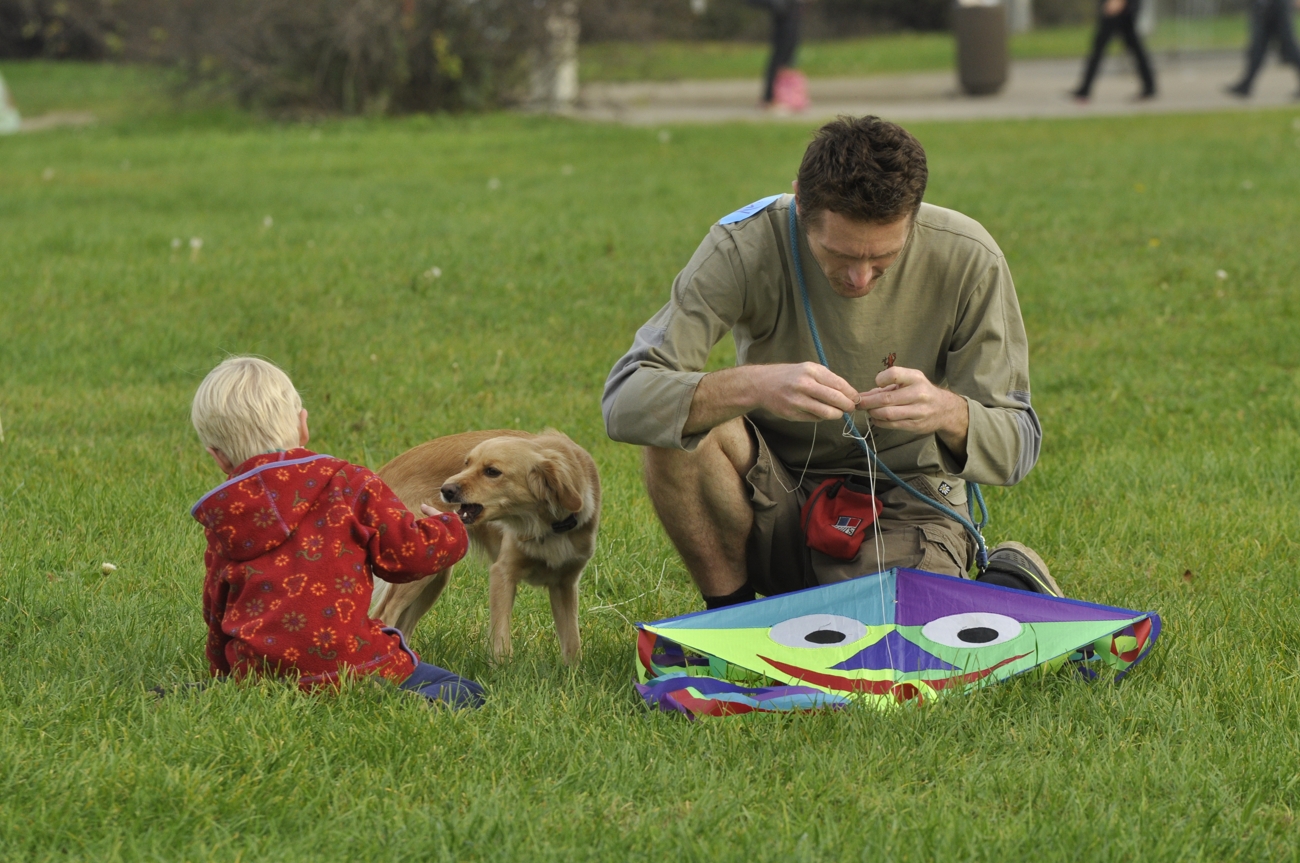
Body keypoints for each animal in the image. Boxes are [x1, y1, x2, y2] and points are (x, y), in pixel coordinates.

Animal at [369, 429, 600, 665]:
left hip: (436, 576)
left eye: (492, 472)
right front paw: (503, 670)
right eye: (466, 464)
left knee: (403, 628)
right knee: (383, 617)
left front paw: (572, 671)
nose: (445, 489)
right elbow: (501, 638)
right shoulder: (502, 573)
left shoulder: (565, 584)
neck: (547, 525)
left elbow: (572, 643)